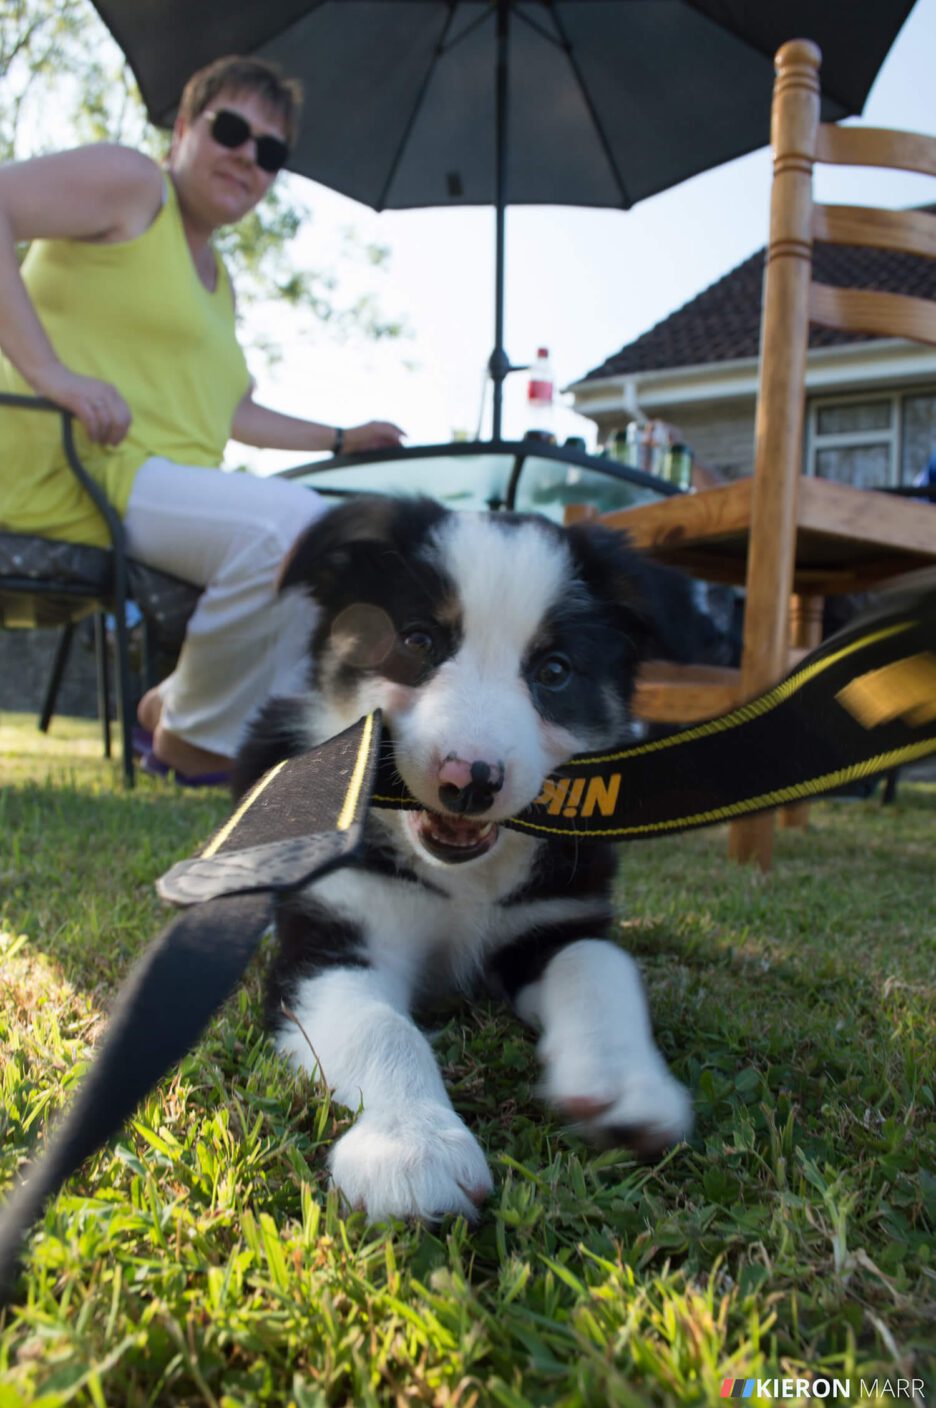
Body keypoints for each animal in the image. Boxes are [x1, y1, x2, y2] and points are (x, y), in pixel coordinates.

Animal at [235, 498, 692, 1222]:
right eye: (419, 640)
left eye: (554, 671)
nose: (470, 780)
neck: (461, 879)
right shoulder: (329, 940)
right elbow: (382, 1026)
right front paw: (412, 1147)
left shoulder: (558, 914)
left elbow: (599, 963)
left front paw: (623, 1083)